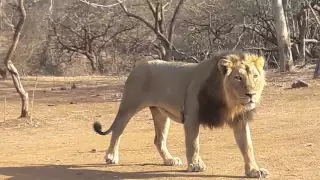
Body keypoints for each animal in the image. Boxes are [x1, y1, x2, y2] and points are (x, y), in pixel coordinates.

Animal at [94, 50, 268, 177]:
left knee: (159, 139)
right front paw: (196, 165)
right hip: (129, 105)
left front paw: (254, 170)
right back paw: (111, 156)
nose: (251, 94)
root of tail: (140, 64)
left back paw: (169, 160)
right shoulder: (192, 116)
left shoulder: (240, 120)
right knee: (117, 130)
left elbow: (247, 146)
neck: (229, 102)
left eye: (255, 76)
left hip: (161, 114)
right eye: (238, 77)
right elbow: (193, 143)